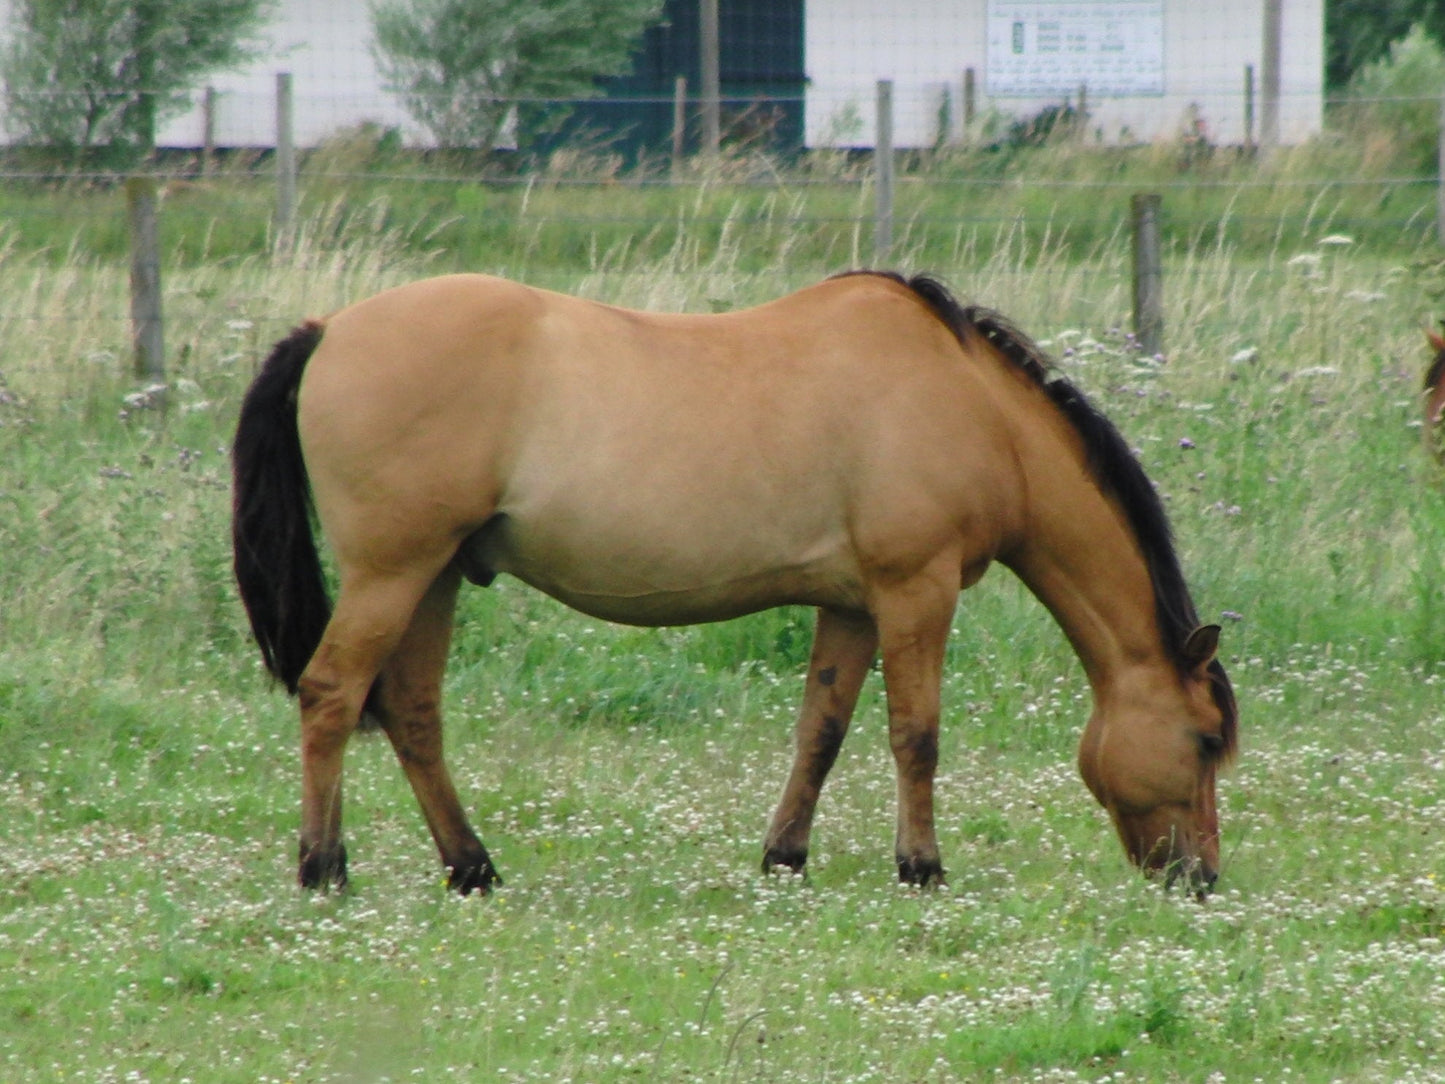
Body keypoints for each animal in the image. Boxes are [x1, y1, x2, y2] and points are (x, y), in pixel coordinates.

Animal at [231, 271, 1236, 901]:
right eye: (1201, 740)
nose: (1200, 878)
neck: (970, 402)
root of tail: (329, 331)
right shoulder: (915, 590)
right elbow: (914, 736)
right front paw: (920, 866)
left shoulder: (850, 605)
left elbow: (820, 732)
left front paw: (784, 857)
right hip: (392, 573)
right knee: (331, 696)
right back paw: (324, 867)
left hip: (436, 574)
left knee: (410, 712)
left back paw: (471, 867)